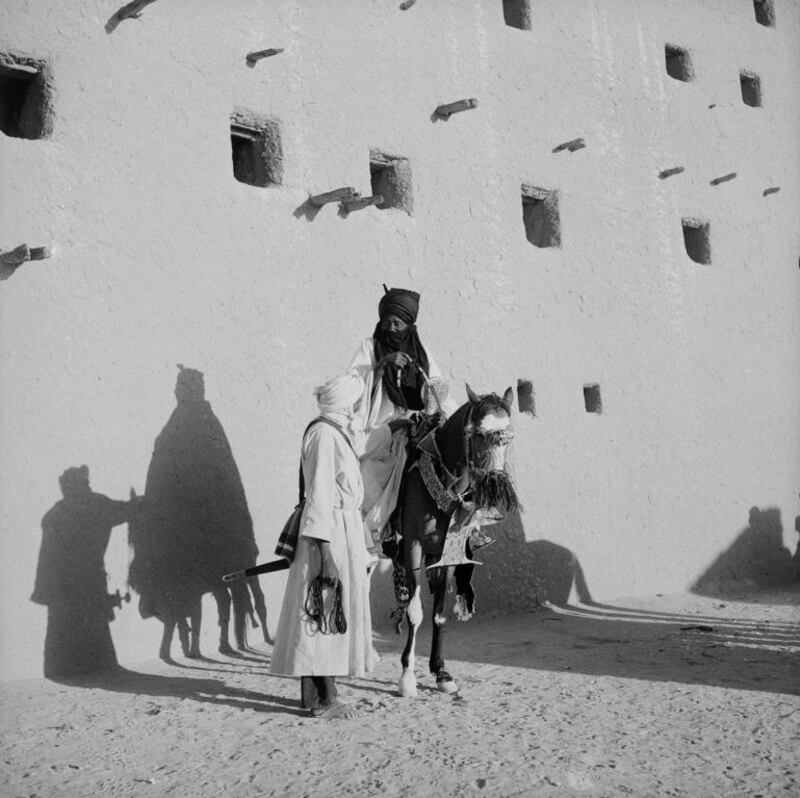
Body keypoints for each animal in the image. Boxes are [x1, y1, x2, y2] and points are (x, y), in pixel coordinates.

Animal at [396, 384, 520, 696]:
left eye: (508, 435)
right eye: (475, 432)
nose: (496, 485)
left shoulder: (447, 554)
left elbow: (438, 613)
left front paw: (441, 672)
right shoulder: (412, 546)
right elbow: (414, 612)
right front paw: (407, 677)